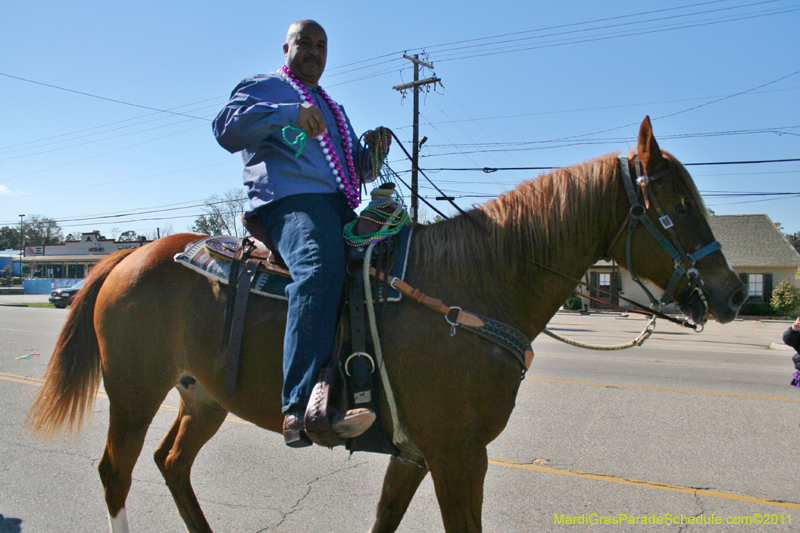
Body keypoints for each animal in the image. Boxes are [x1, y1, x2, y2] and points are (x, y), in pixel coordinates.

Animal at [26, 117, 752, 532]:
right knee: (116, 472)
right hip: (134, 391)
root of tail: (128, 256)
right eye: (679, 203)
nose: (732, 292)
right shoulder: (459, 455)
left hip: (202, 395)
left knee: (172, 464)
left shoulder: (419, 454)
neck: (470, 290)